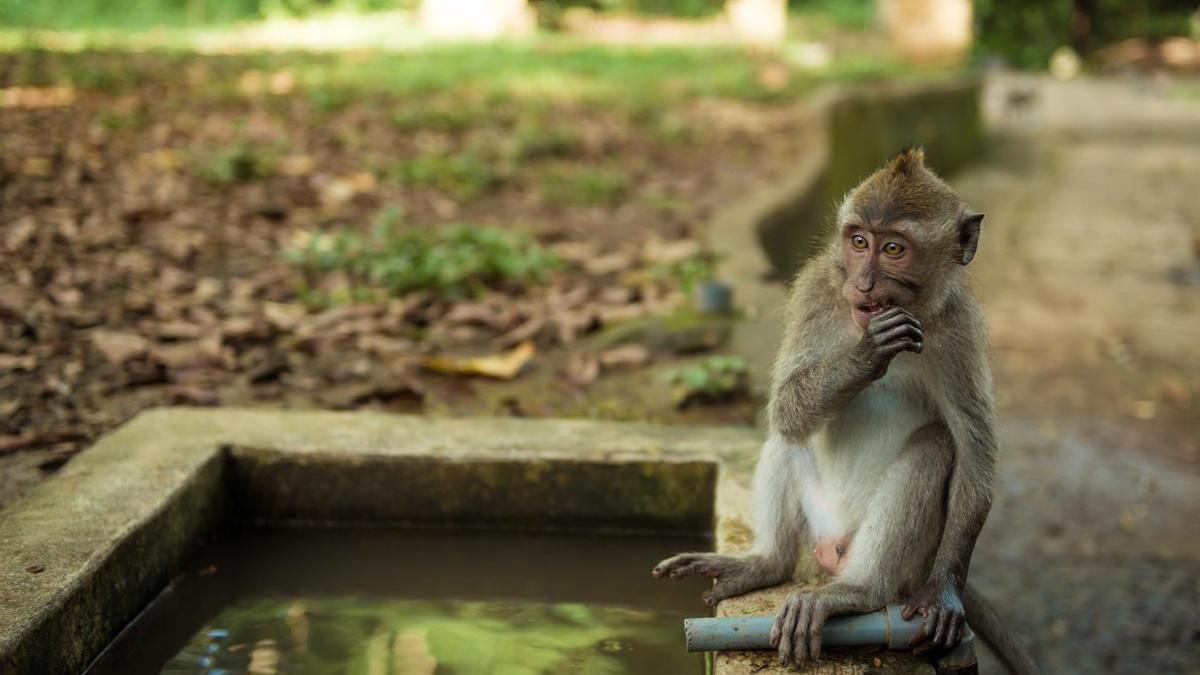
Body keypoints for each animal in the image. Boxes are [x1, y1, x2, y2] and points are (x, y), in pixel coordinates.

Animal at [652, 148, 1036, 672]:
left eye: (893, 249)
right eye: (858, 242)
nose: (863, 282)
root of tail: (834, 548)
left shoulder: (962, 330)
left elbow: (974, 447)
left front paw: (944, 591)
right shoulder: (816, 290)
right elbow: (786, 405)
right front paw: (868, 352)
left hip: (896, 557)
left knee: (936, 445)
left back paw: (856, 591)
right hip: (817, 514)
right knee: (785, 435)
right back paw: (766, 563)